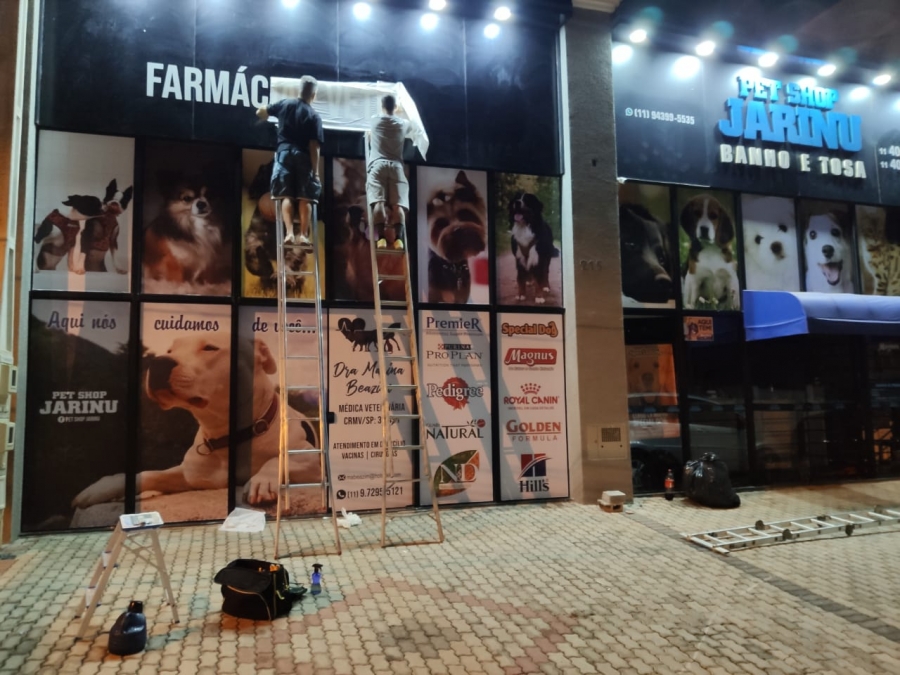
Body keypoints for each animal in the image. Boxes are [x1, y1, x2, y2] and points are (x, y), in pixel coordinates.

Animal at [71, 335, 320, 508]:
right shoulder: (190, 475)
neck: (227, 436)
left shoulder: (313, 459)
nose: (159, 363)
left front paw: (263, 481)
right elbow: (149, 474)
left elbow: (276, 459)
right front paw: (101, 488)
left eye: (209, 347)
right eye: (170, 350)